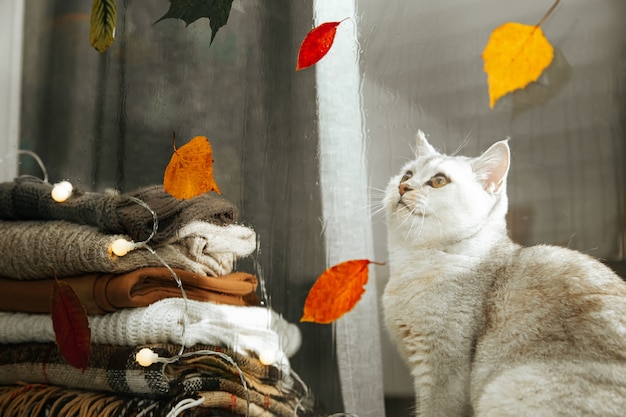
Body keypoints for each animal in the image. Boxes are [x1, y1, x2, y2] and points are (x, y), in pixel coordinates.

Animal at [378, 131, 624, 416]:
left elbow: (436, 408)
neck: (412, 261)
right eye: (406, 175)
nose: (403, 187)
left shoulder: (443, 366)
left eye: (438, 181)